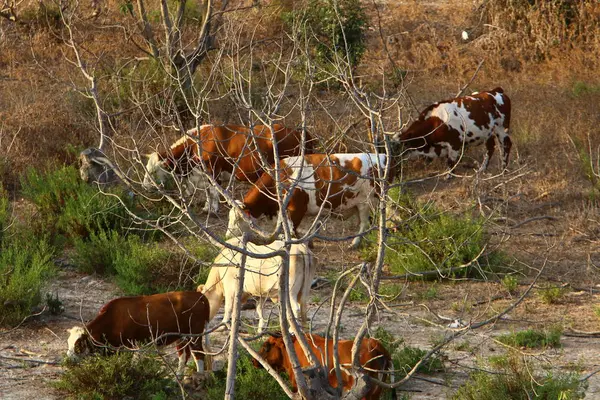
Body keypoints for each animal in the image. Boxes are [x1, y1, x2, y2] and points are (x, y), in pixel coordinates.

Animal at [65, 290, 210, 376]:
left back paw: (199, 378)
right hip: (181, 336)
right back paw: (178, 377)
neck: (113, 318)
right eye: (68, 343)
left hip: (194, 334)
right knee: (183, 354)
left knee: (198, 354)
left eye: (78, 344)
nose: (68, 360)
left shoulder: (129, 346)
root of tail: (197, 294)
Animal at [141, 123, 314, 214]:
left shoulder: (213, 171)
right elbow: (208, 193)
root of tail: (298, 130)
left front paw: (213, 209)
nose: (145, 186)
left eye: (154, 171)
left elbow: (212, 192)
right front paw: (207, 207)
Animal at [225, 154, 390, 250]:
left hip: (366, 202)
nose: (227, 236)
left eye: (238, 220)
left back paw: (354, 243)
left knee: (364, 223)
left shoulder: (297, 209)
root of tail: (381, 156)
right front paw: (308, 242)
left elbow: (292, 231)